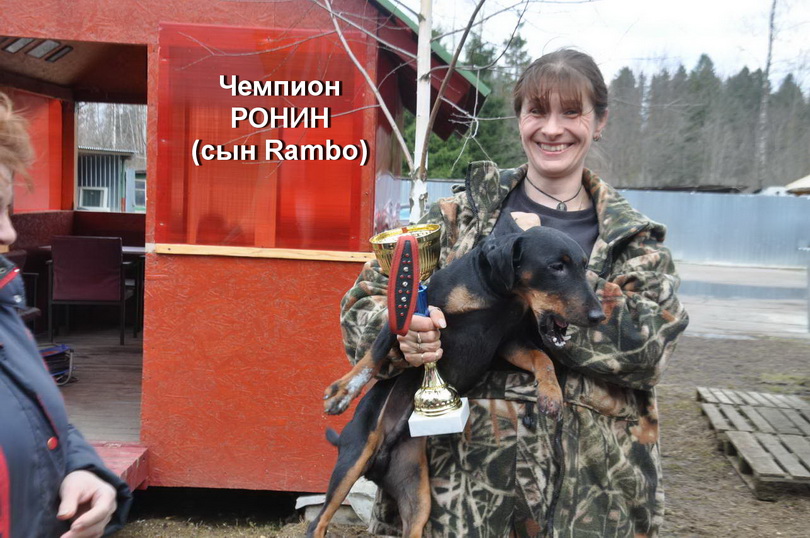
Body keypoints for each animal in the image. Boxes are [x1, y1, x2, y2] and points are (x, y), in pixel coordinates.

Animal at [308, 226, 605, 537]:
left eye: (585, 266)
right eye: (556, 266)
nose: (600, 316)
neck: (499, 294)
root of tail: (381, 456)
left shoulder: (510, 342)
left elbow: (542, 358)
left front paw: (551, 395)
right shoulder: (407, 313)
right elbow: (375, 353)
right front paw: (343, 390)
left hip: (415, 491)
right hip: (355, 455)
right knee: (318, 523)